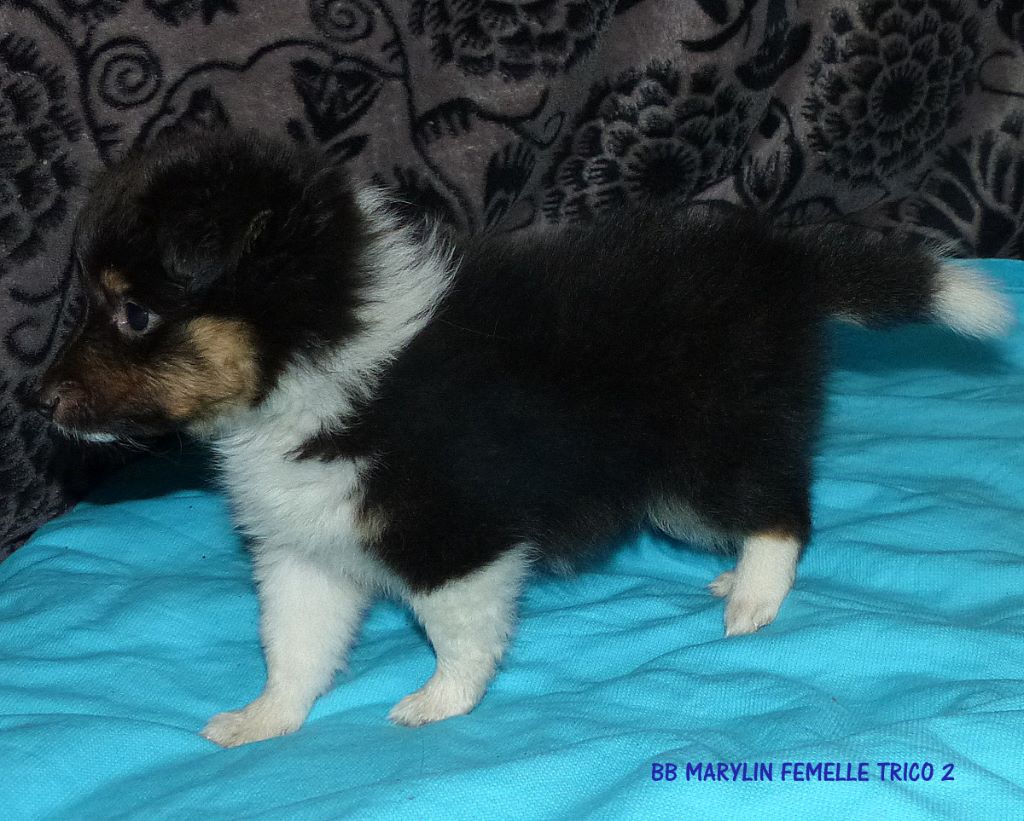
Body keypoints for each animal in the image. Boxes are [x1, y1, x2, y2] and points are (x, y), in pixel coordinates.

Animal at [35, 130, 1013, 747]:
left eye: (134, 313)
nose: (40, 402)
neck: (318, 359)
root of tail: (781, 263)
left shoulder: (454, 534)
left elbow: (459, 629)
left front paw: (438, 703)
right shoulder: (305, 548)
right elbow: (294, 642)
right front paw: (264, 718)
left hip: (703, 452)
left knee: (786, 506)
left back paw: (754, 599)